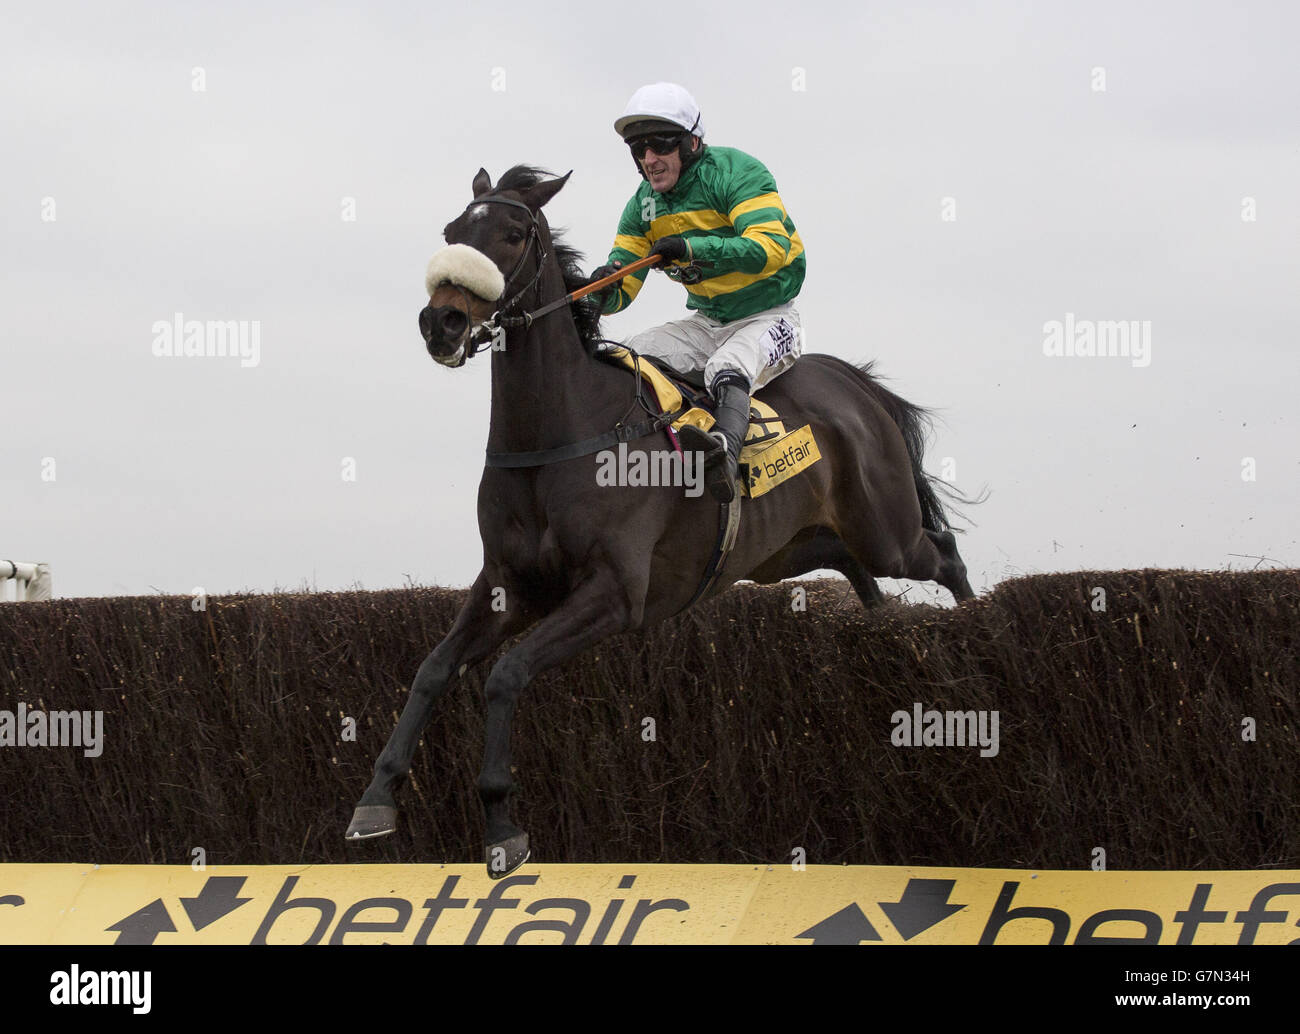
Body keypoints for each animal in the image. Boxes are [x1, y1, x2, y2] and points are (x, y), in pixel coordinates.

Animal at [345, 165, 977, 879]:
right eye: (452, 231)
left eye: (509, 233)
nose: (442, 321)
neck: (559, 433)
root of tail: (853, 385)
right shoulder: (508, 581)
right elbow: (432, 669)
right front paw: (375, 799)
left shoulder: (616, 594)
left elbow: (505, 676)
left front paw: (502, 823)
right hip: (784, 551)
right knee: (850, 564)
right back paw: (875, 618)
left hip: (884, 527)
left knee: (943, 553)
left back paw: (976, 627)